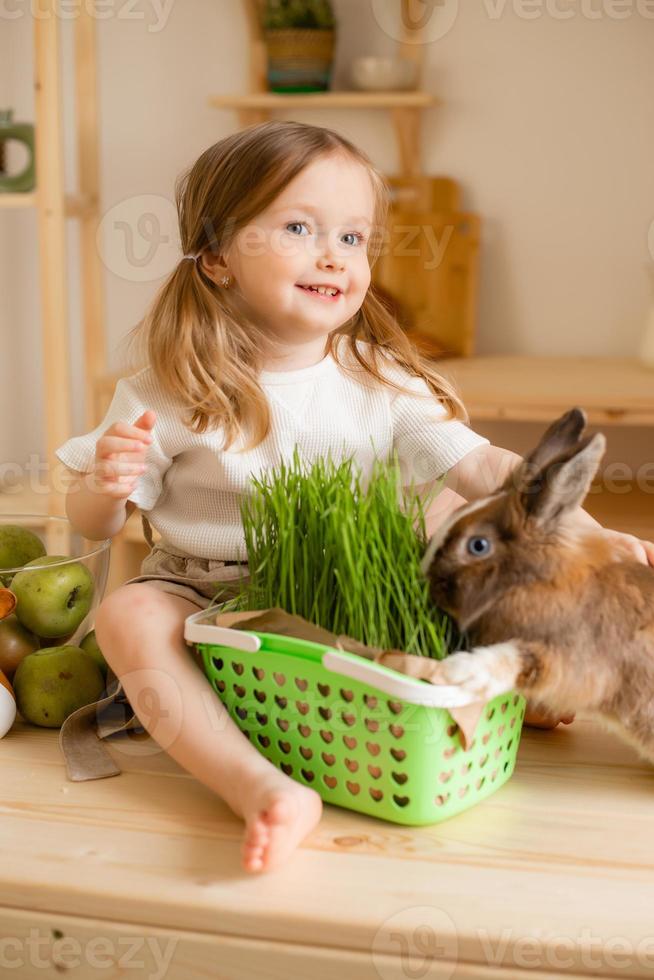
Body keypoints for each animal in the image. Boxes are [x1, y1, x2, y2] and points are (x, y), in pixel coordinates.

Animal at [422, 410, 654, 760]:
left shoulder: (571, 660)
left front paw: (458, 671)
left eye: (478, 546)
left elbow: (515, 660)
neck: (536, 582)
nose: (424, 574)